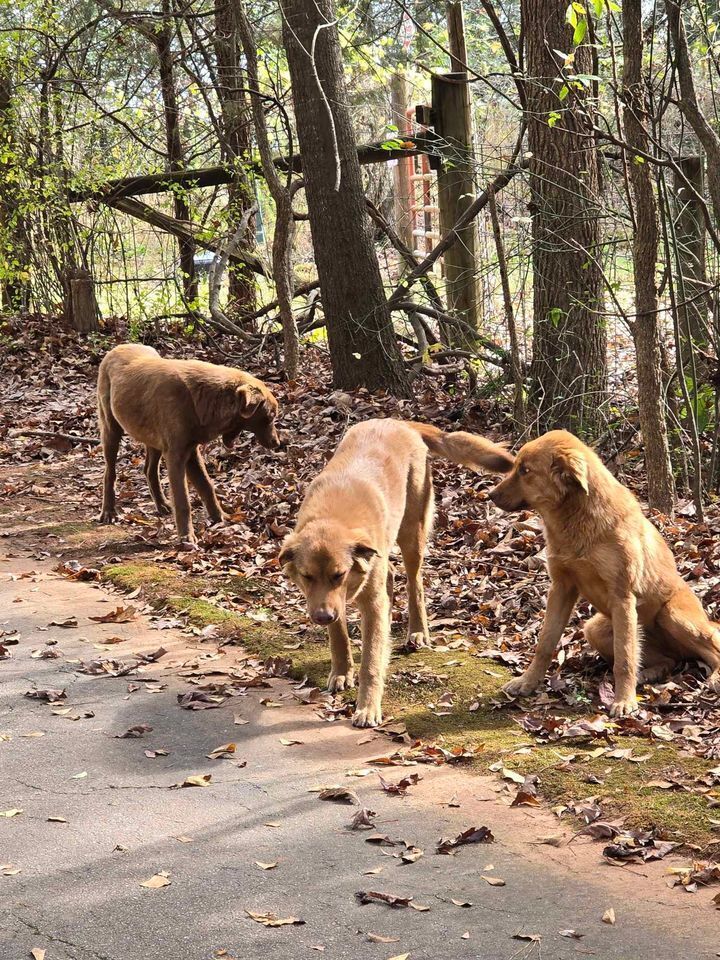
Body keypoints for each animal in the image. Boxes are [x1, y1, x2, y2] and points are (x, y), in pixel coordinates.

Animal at [93, 344, 278, 544]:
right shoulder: (176, 454)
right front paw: (186, 536)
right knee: (109, 473)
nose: (277, 443)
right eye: (270, 417)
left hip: (153, 439)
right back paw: (108, 512)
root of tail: (116, 348)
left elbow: (206, 486)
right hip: (111, 428)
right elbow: (183, 501)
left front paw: (221, 518)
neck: (202, 400)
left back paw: (162, 504)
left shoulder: (191, 451)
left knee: (149, 470)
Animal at [278, 416, 516, 724]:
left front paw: (367, 706)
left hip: (412, 534)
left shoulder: (367, 603)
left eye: (339, 575)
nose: (322, 617)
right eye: (307, 577)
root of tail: (398, 422)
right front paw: (342, 672)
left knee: (415, 584)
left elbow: (371, 660)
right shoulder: (332, 601)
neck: (333, 517)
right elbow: (338, 637)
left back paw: (417, 631)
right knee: (390, 574)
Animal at [490, 432, 720, 716]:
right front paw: (528, 682)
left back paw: (713, 677)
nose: (490, 495)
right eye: (517, 467)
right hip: (594, 629)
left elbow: (624, 659)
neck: (575, 520)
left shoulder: (622, 596)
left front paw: (624, 700)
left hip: (673, 615)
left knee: (711, 651)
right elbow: (545, 643)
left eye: (525, 471)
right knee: (668, 659)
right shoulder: (561, 588)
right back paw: (651, 673)